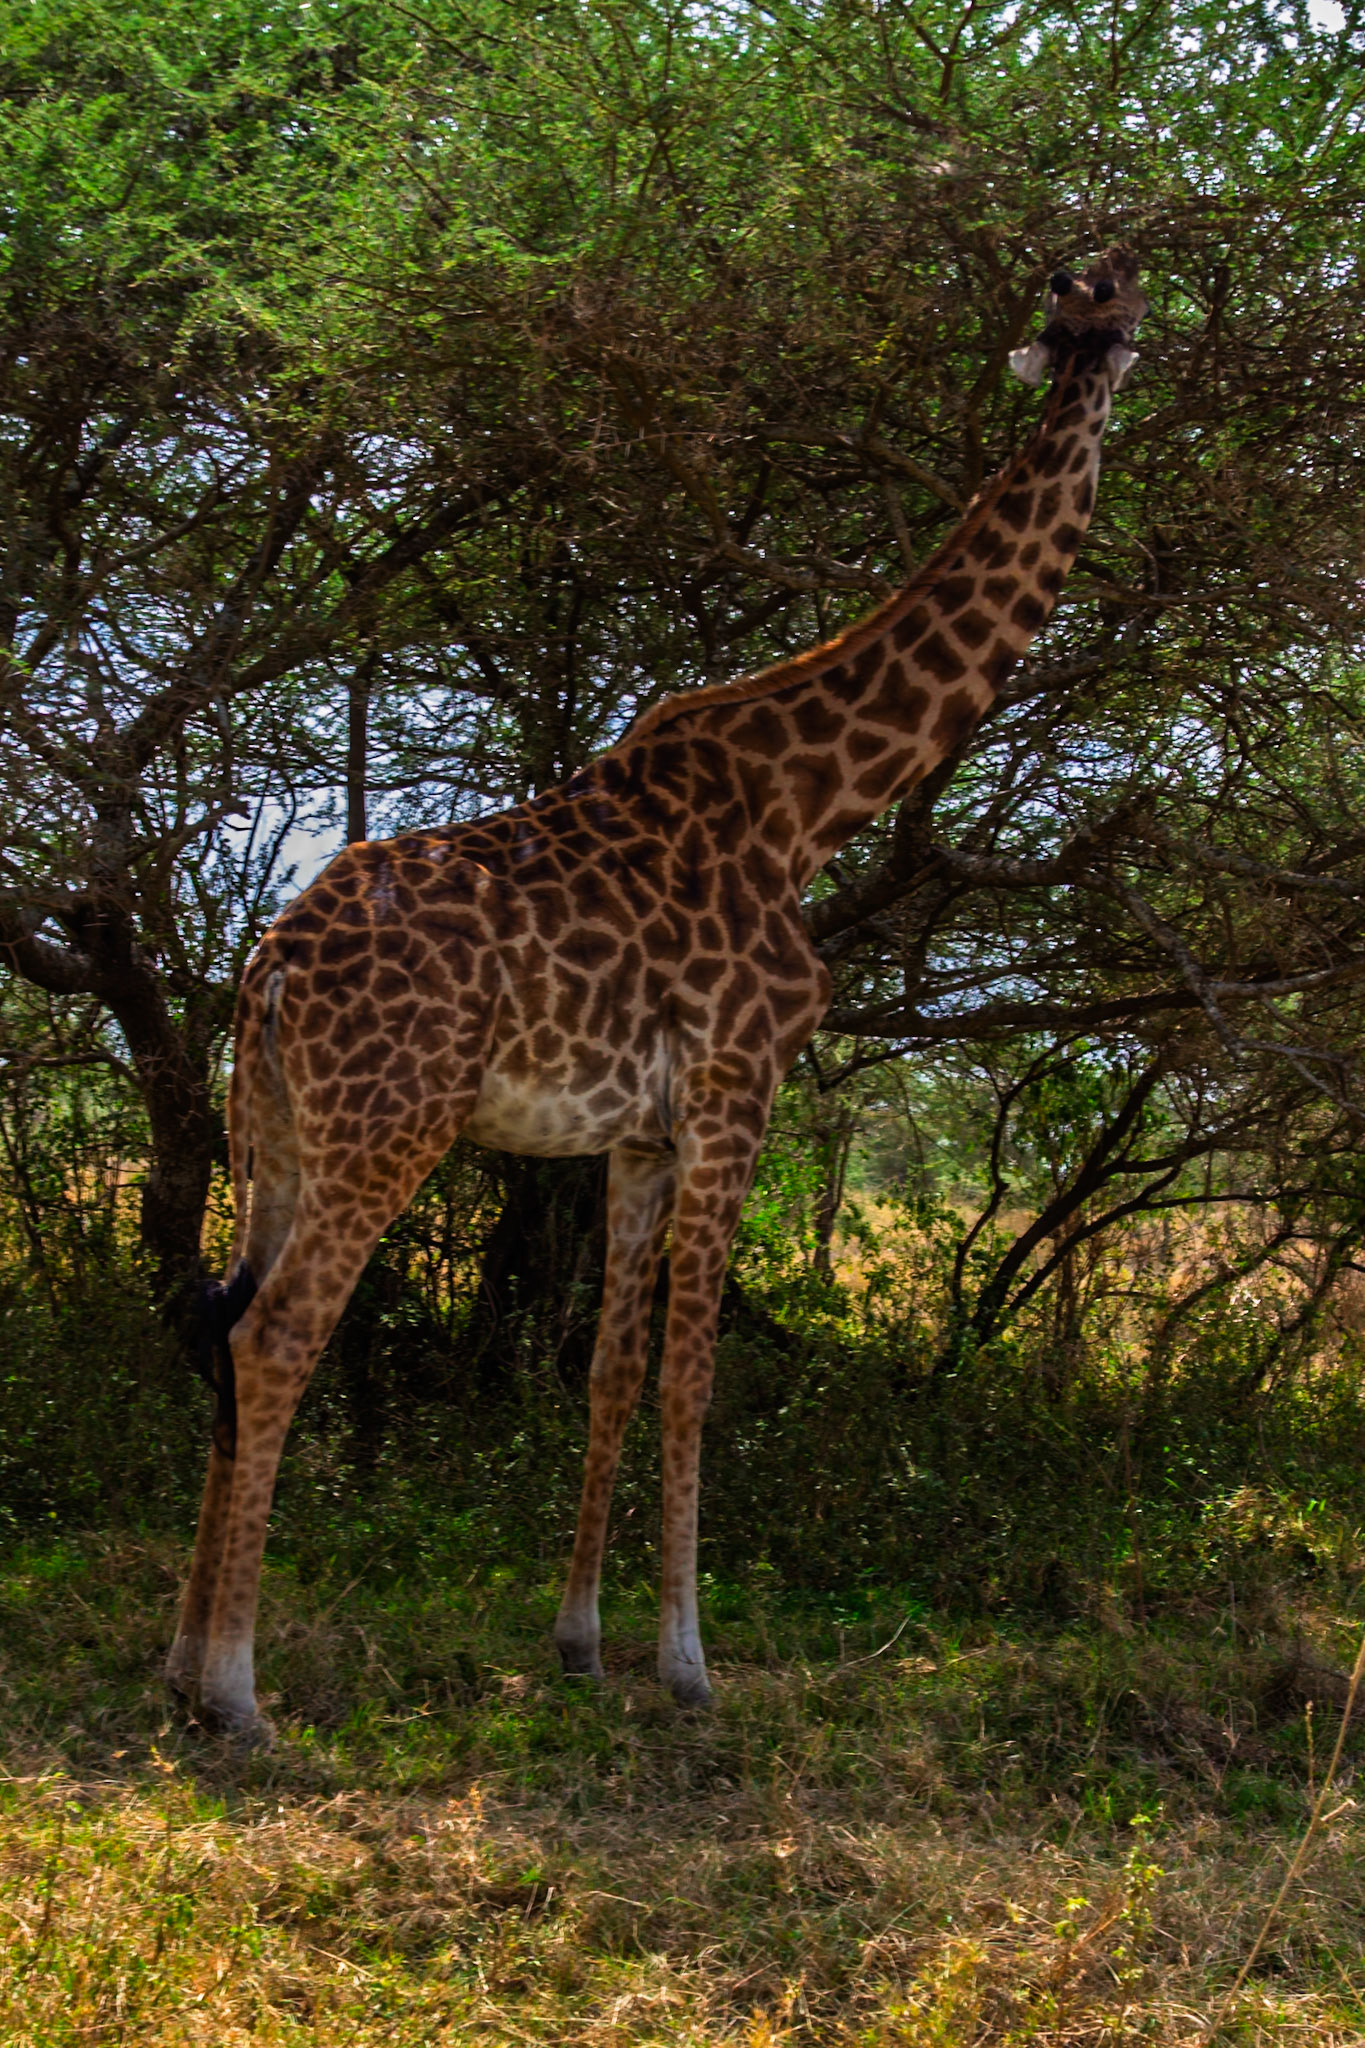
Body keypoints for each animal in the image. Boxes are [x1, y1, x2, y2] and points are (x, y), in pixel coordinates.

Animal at [170, 246, 1147, 1737]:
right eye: (1101, 304)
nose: (1109, 356)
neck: (809, 806)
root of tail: (270, 964)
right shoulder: (741, 1084)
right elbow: (693, 1376)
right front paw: (689, 1662)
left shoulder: (635, 1133)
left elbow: (611, 1371)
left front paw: (579, 1642)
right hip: (388, 1126)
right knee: (279, 1333)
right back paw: (239, 1691)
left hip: (271, 1131)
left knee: (220, 1323)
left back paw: (178, 1665)